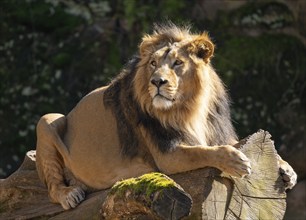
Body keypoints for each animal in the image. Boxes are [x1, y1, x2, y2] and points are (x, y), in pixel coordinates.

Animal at [35, 22, 296, 210]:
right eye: (152, 63)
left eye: (177, 63)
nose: (157, 82)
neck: (190, 108)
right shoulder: (167, 155)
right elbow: (203, 151)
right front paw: (236, 161)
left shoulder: (217, 133)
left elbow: (228, 143)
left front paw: (286, 169)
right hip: (48, 119)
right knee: (52, 187)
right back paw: (70, 193)